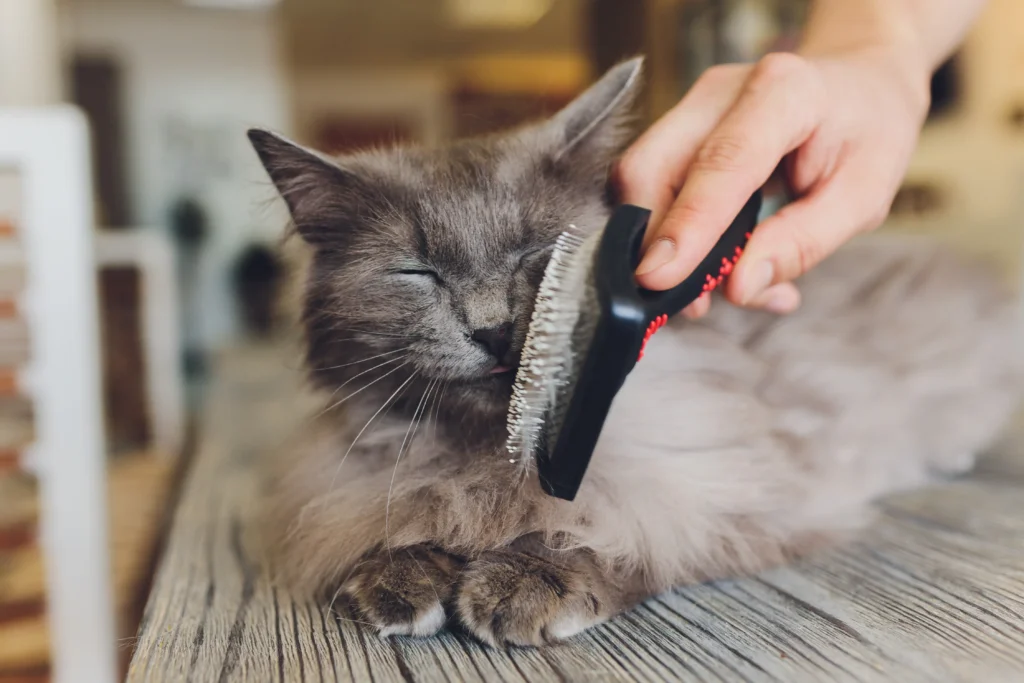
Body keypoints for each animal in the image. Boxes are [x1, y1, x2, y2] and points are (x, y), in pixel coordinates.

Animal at [247, 57, 1024, 647]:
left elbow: (609, 534)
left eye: (537, 253)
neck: (490, 453)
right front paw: (401, 578)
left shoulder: (721, 489)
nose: (492, 330)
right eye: (417, 273)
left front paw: (522, 582)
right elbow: (397, 519)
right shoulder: (359, 485)